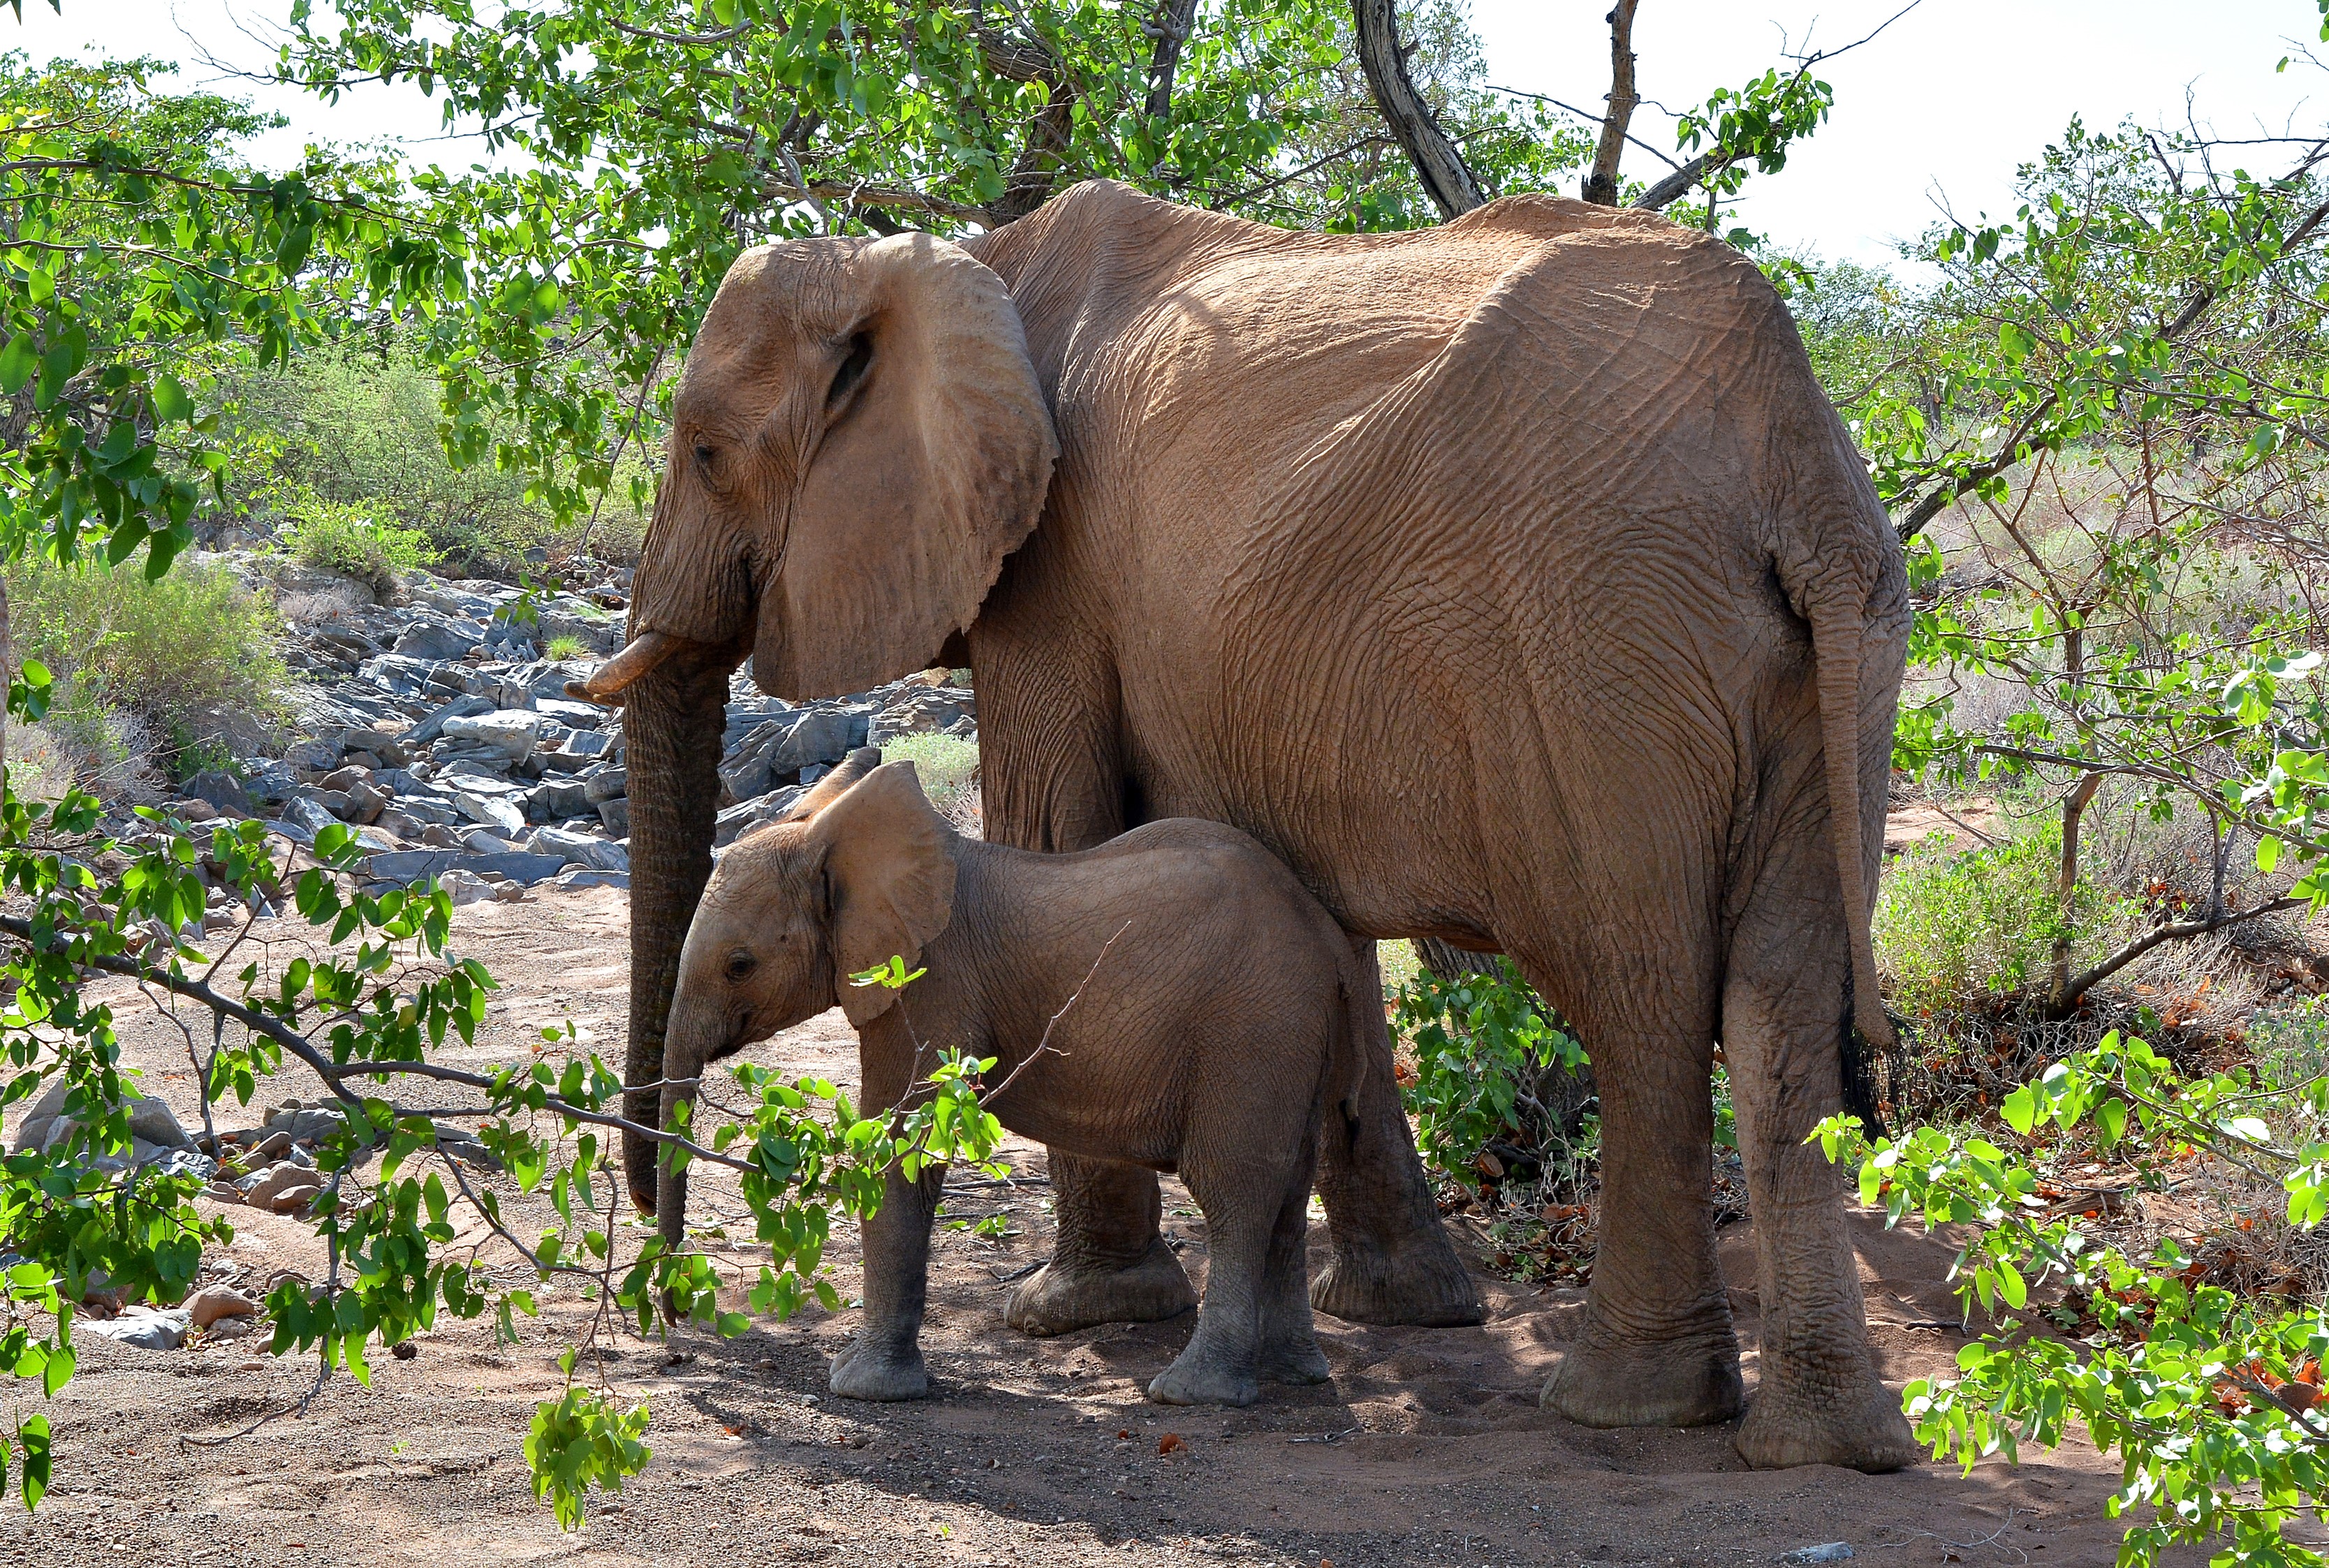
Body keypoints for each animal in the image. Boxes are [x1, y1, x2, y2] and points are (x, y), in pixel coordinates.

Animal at [658, 752, 1366, 1407]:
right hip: (1294, 1036)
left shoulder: (926, 985)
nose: (677, 1331)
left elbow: (901, 1148)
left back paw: (1192, 1393)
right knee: (1287, 1190)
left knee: (1233, 1189)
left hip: (1250, 1030)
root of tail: (1329, 940)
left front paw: (861, 1389)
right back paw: (1294, 1375)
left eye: (740, 966)